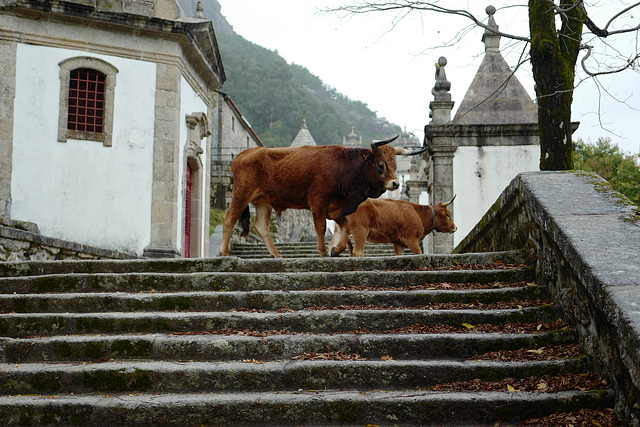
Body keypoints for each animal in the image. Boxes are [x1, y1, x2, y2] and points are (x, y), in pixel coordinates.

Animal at [220, 137, 430, 258]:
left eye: (395, 165)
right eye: (380, 165)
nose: (395, 183)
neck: (343, 167)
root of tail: (244, 153)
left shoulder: (336, 209)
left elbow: (345, 228)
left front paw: (336, 250)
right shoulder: (318, 203)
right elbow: (321, 228)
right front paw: (323, 252)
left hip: (263, 202)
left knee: (261, 227)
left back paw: (277, 256)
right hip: (242, 193)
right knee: (229, 218)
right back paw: (224, 252)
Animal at [328, 197, 458, 258]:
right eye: (447, 215)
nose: (455, 227)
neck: (418, 214)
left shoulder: (398, 243)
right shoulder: (411, 239)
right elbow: (419, 253)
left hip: (344, 227)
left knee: (341, 244)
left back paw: (334, 251)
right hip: (361, 230)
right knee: (357, 252)